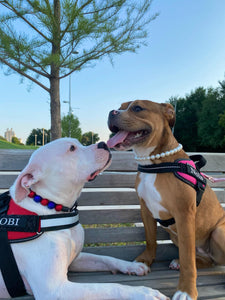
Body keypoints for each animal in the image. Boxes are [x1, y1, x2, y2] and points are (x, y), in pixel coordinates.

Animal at [0, 139, 169, 300]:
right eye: (71, 148)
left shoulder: (76, 259)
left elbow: (106, 258)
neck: (51, 209)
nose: (103, 144)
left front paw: (132, 266)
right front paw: (144, 292)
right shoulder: (54, 290)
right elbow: (108, 287)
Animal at [107, 101, 225, 300]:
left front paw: (186, 290)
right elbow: (150, 239)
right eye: (121, 106)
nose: (112, 112)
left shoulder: (184, 216)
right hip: (176, 236)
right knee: (208, 261)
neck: (155, 164)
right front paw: (145, 261)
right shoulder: (145, 209)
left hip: (218, 232)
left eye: (137, 108)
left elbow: (188, 262)